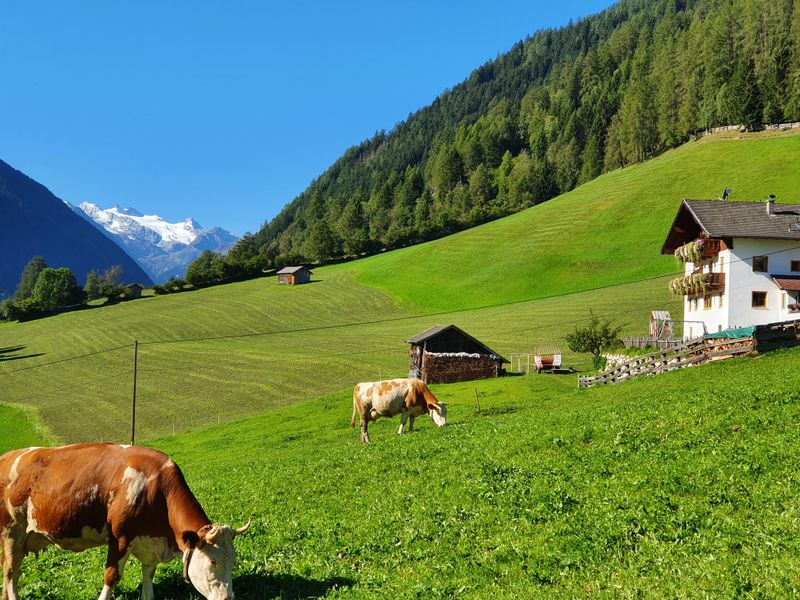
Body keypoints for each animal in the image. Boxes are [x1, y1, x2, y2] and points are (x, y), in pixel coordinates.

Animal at [0, 442, 250, 596]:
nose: (227, 598)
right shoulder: (120, 538)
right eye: (213, 561)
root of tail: (8, 455)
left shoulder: (150, 542)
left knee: (11, 572)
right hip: (11, 531)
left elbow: (148, 579)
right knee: (11, 574)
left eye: (233, 560)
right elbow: (111, 577)